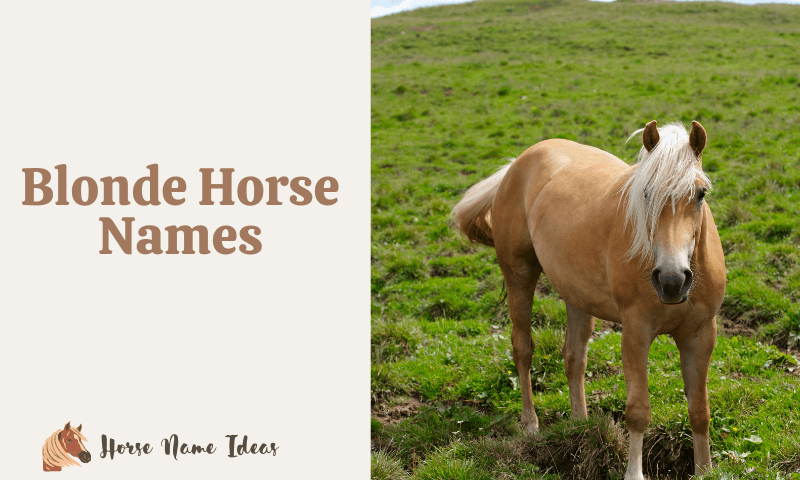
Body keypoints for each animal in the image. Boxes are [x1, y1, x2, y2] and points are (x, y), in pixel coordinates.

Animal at [451, 121, 726, 479]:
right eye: (646, 193)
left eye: (701, 194)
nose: (671, 280)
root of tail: (517, 164)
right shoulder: (636, 333)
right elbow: (638, 411)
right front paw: (633, 473)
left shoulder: (700, 335)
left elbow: (700, 410)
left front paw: (704, 470)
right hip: (519, 276)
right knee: (523, 349)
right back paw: (530, 425)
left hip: (577, 297)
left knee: (574, 358)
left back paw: (579, 426)